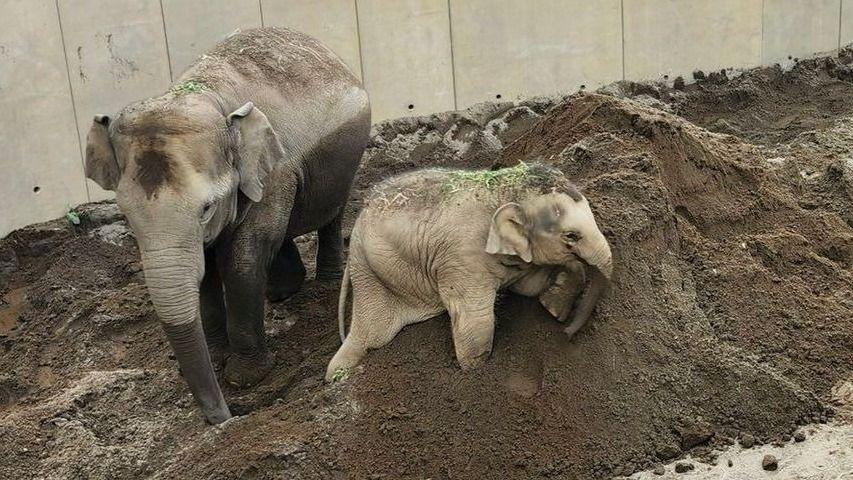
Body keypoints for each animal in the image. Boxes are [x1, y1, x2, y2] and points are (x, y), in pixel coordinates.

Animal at [82, 28, 370, 422]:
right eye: (125, 214)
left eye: (206, 208)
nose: (224, 417)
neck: (203, 95)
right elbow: (205, 269)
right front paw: (218, 358)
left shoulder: (275, 171)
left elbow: (242, 260)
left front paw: (244, 378)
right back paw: (281, 292)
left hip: (346, 158)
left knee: (331, 213)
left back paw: (323, 282)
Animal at [326, 163, 612, 380]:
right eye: (571, 236)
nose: (566, 334)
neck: (501, 188)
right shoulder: (463, 258)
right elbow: (475, 318)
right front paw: (475, 375)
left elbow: (530, 285)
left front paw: (553, 307)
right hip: (370, 274)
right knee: (371, 335)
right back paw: (338, 377)